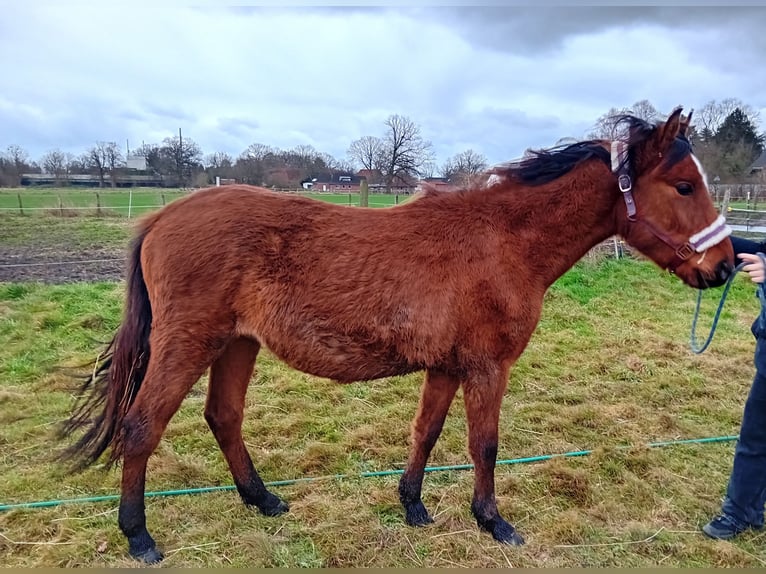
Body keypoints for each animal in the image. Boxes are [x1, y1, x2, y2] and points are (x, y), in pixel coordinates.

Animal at [61, 107, 736, 564]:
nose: (726, 267)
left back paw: (264, 501)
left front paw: (413, 505)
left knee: (223, 417)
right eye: (683, 185)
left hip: (236, 344)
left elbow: (427, 433)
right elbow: (484, 445)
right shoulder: (488, 366)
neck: (504, 242)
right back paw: (139, 536)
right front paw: (493, 522)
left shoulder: (447, 365)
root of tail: (160, 217)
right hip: (188, 344)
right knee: (141, 427)